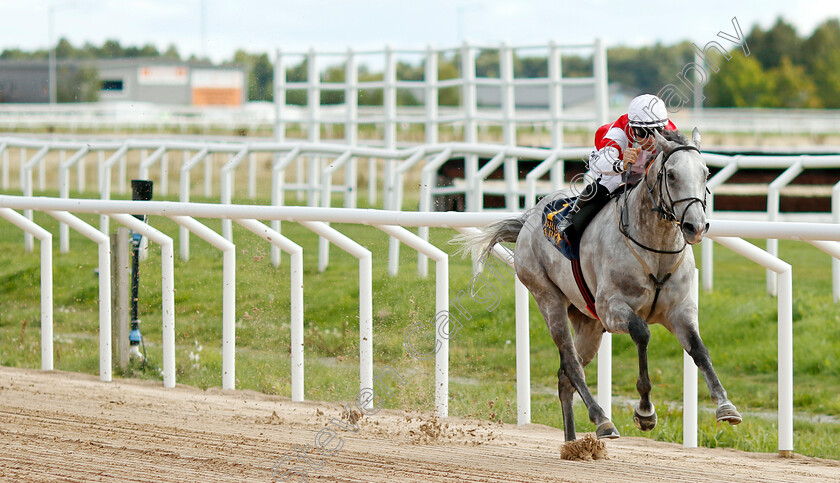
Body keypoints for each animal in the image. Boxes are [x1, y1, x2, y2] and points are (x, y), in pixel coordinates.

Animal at [460, 129, 740, 442]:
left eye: (706, 172)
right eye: (671, 174)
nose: (696, 227)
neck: (656, 250)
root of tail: (528, 221)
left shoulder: (679, 311)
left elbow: (699, 350)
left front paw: (726, 406)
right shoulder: (611, 308)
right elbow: (642, 333)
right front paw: (645, 412)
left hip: (588, 322)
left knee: (564, 375)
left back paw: (572, 442)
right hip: (548, 298)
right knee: (571, 365)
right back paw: (602, 420)